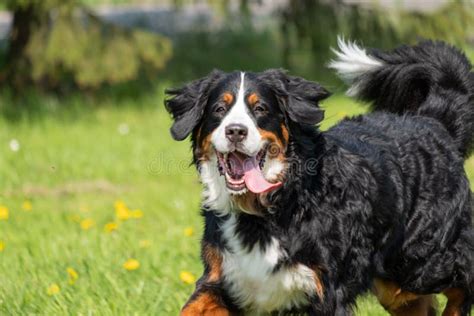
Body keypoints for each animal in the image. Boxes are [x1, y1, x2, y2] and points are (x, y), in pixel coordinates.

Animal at [165, 40, 472, 316]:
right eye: (219, 109)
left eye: (260, 109)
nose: (236, 131)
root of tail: (430, 121)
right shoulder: (224, 279)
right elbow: (190, 307)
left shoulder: (328, 292)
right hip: (394, 283)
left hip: (420, 262)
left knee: (462, 281)